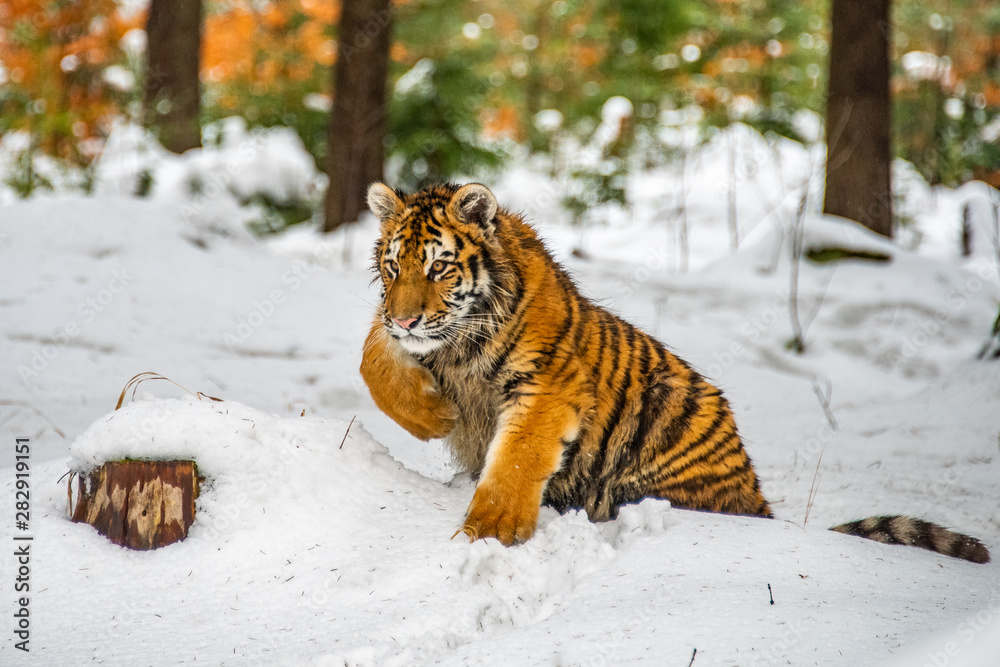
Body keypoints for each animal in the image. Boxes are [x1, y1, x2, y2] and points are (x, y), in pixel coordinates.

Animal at [359, 181, 990, 564]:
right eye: (393, 269)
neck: (455, 349)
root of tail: (758, 505)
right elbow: (373, 357)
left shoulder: (547, 384)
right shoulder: (396, 330)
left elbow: (515, 458)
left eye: (439, 268)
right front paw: (435, 415)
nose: (407, 317)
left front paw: (488, 532)